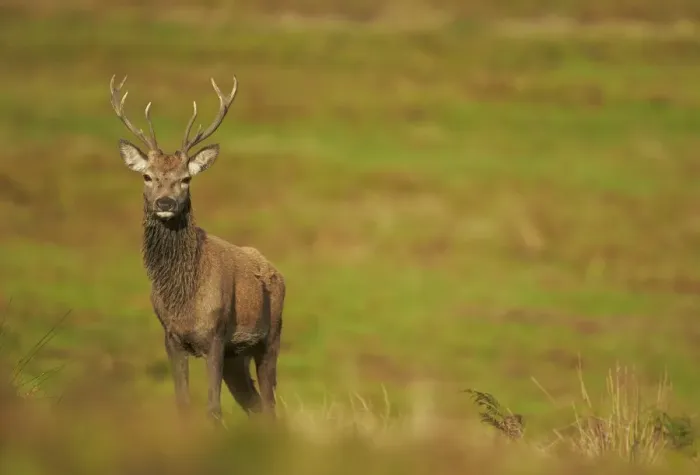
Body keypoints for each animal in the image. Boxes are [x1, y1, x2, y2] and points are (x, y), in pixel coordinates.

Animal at [108, 74, 286, 423]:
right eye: (147, 176)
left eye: (186, 179)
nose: (165, 202)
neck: (185, 300)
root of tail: (276, 271)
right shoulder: (171, 337)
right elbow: (183, 405)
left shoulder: (216, 335)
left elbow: (213, 408)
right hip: (237, 356)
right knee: (255, 404)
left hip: (270, 337)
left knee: (270, 405)